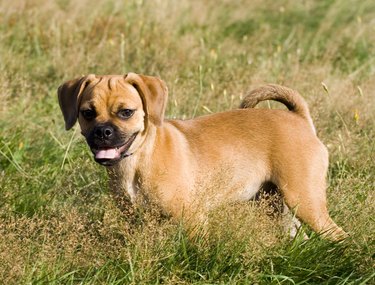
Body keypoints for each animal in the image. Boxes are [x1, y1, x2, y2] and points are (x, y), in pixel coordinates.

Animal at [57, 72, 348, 240]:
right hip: (278, 206)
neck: (137, 160)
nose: (102, 132)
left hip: (306, 201)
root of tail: (299, 118)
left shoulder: (193, 220)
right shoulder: (136, 221)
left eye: (126, 112)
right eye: (87, 113)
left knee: (339, 236)